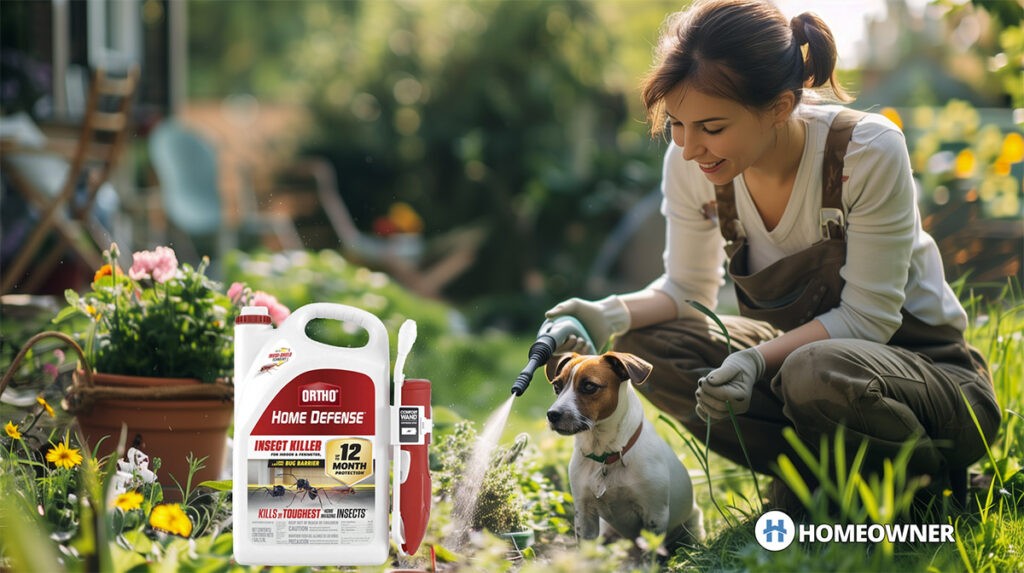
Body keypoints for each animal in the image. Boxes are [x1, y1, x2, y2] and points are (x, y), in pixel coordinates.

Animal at [544, 351, 704, 548]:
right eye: (557, 386)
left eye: (589, 386)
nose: (552, 414)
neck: (604, 454)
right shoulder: (584, 513)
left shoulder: (655, 514)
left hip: (693, 525)